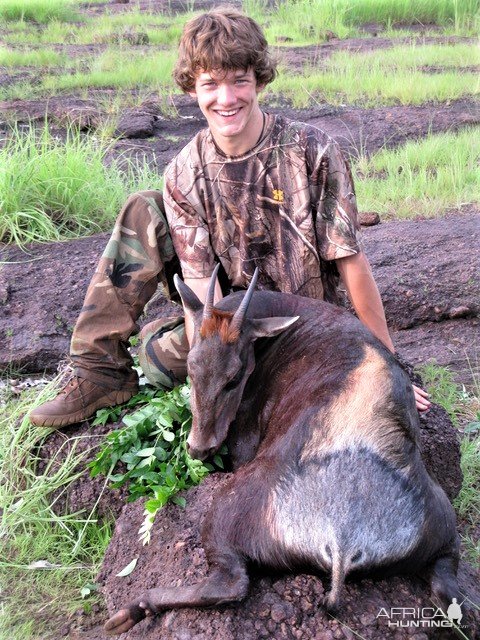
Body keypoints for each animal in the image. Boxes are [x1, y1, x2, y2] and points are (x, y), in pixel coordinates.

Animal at [106, 264, 462, 636]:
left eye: (234, 378)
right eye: (191, 367)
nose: (199, 448)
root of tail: (343, 539)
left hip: (224, 515)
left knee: (230, 583)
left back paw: (132, 608)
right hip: (446, 532)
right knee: (447, 588)